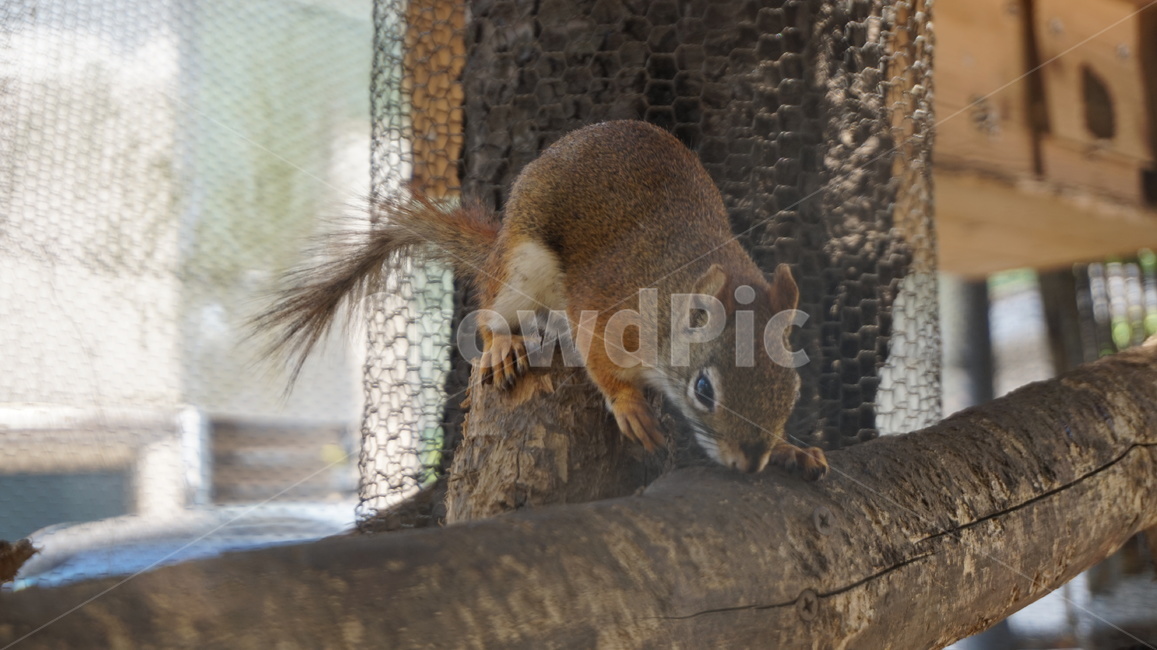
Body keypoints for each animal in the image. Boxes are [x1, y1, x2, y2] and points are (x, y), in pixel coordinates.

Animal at [254, 120, 828, 480]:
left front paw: (792, 451)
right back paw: (501, 346)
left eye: (794, 390)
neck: (670, 295)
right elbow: (598, 357)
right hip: (520, 269)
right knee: (488, 317)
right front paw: (629, 405)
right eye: (704, 390)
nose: (750, 462)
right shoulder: (606, 310)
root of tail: (497, 246)